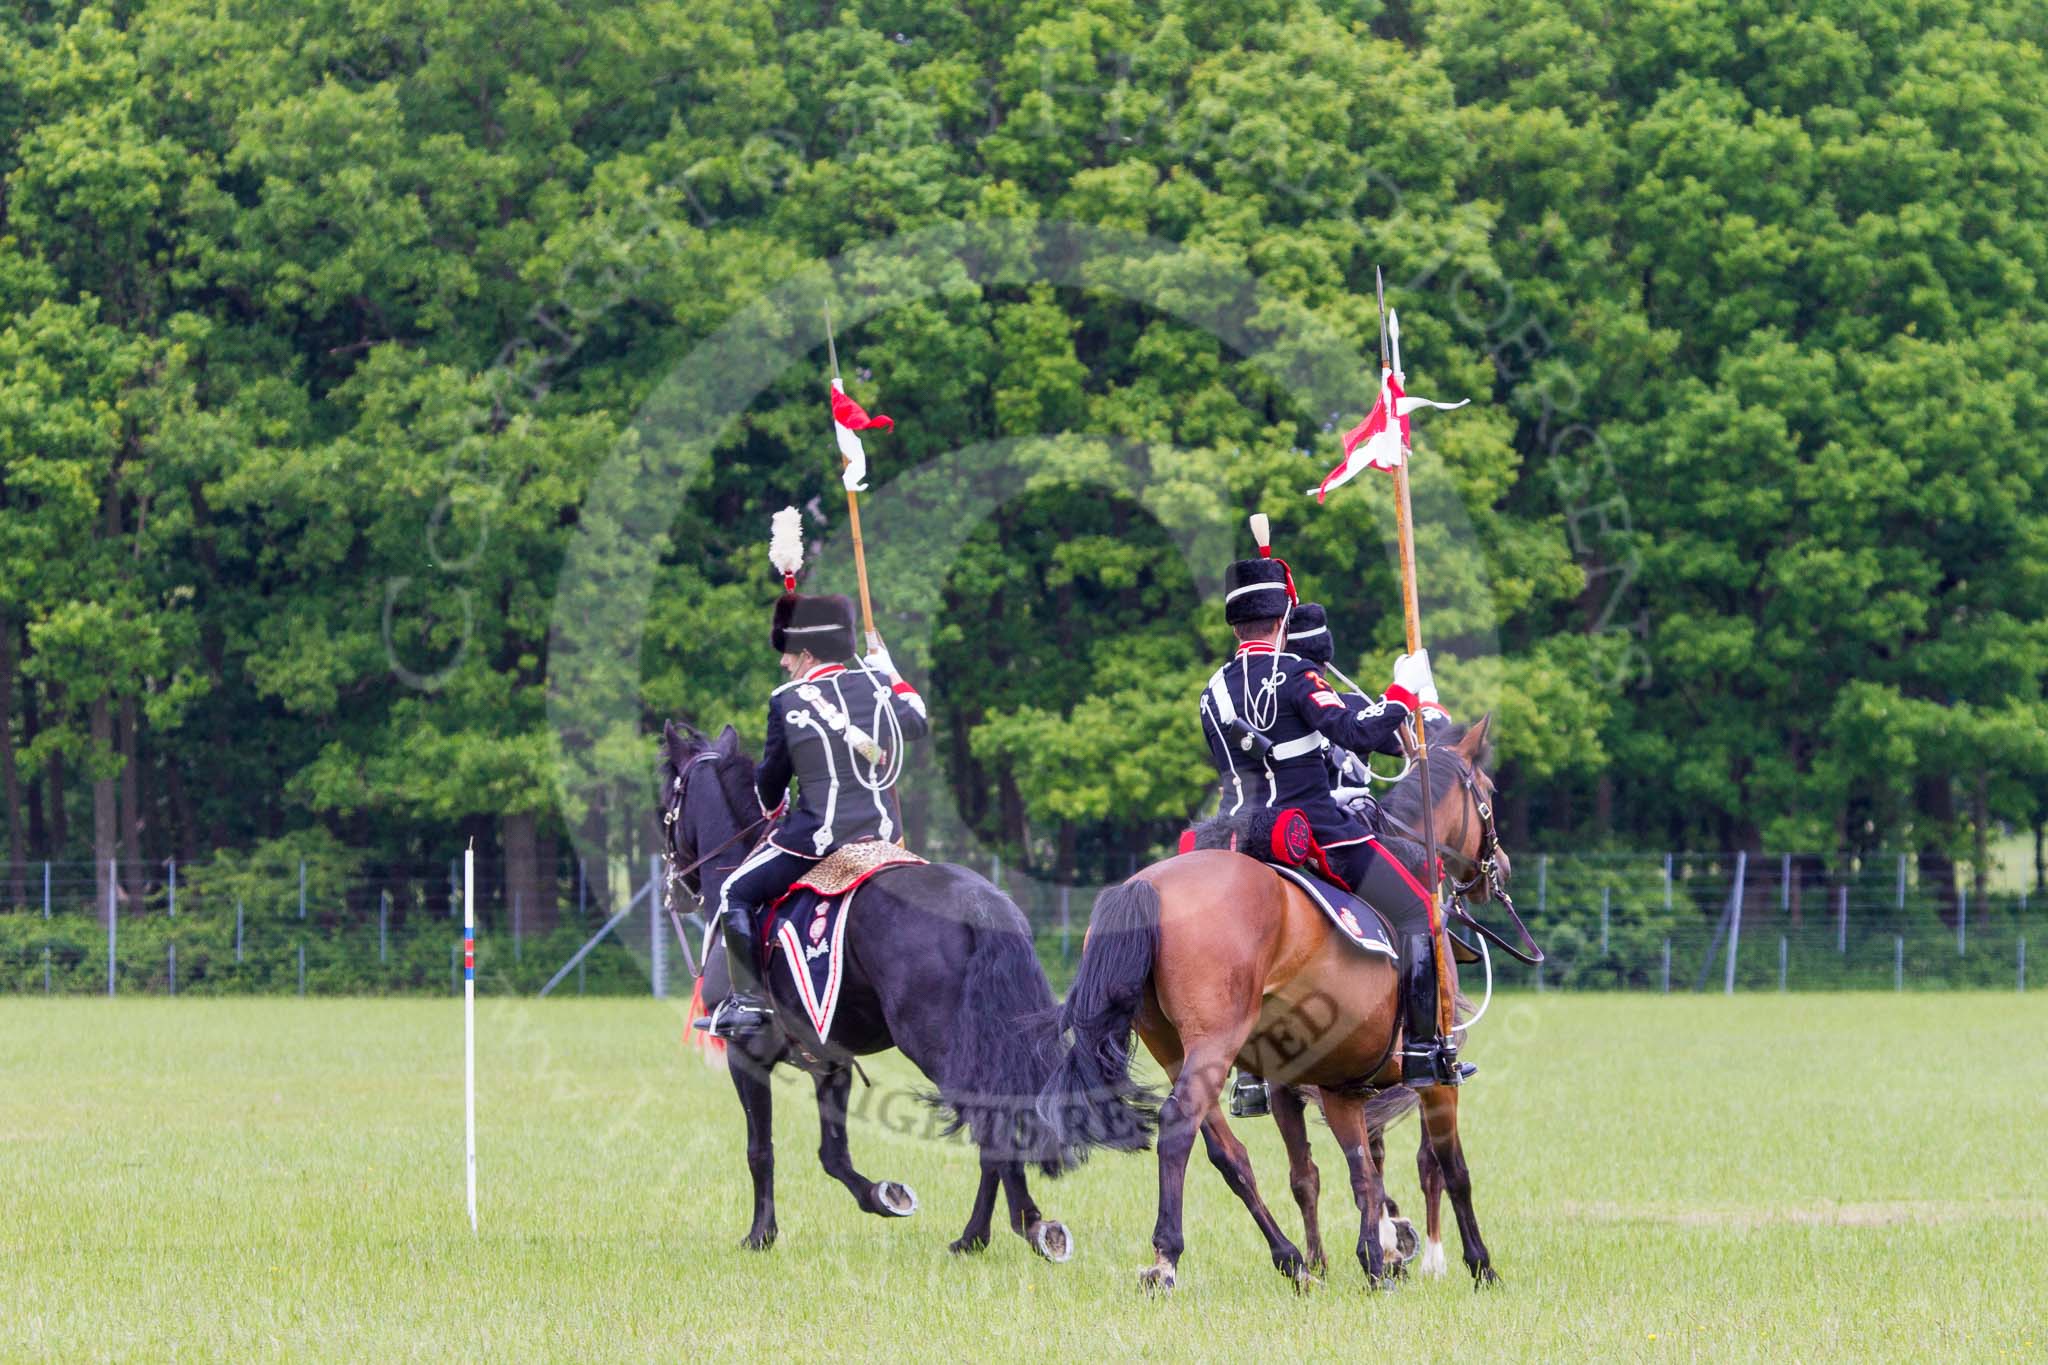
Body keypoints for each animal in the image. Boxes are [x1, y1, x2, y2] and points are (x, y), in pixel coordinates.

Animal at [663, 720, 1097, 1268]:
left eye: (669, 795)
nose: (676, 885)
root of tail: (980, 902)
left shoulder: (746, 1055)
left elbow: (760, 1151)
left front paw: (760, 1235)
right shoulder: (830, 1061)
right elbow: (833, 1153)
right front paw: (884, 1196)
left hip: (935, 1045)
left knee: (988, 1124)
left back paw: (1014, 1227)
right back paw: (988, 1233)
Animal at [1040, 716, 1507, 1293]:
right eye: (1489, 792)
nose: (1500, 867)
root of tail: (1146, 885)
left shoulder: (1335, 1086)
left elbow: (1354, 1173)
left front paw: (1374, 1261)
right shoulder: (1436, 1077)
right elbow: (1448, 1167)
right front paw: (1476, 1264)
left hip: (1173, 1049)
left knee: (1227, 1151)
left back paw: (1292, 1260)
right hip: (1214, 1044)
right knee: (1179, 1124)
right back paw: (1167, 1258)